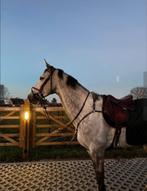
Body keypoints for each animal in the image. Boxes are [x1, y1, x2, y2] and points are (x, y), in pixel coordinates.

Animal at [27, 61, 147, 191]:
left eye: (41, 78)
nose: (29, 97)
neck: (87, 111)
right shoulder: (91, 152)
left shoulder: (97, 151)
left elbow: (100, 181)